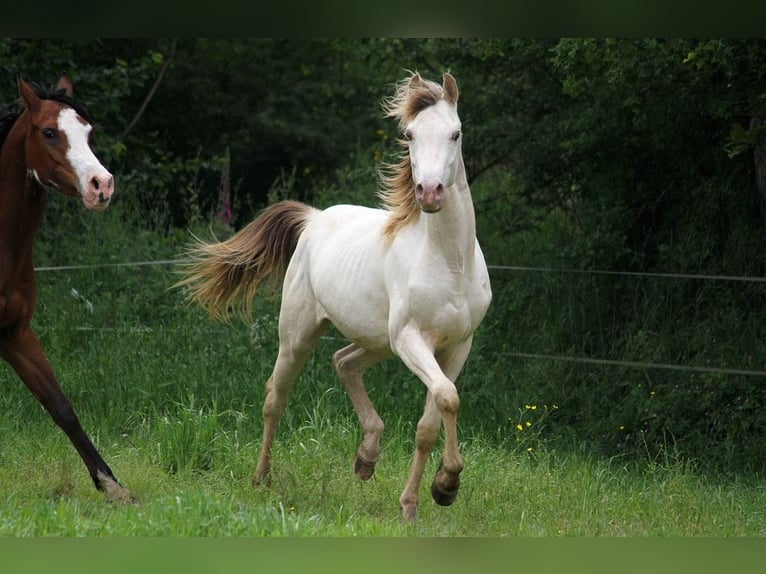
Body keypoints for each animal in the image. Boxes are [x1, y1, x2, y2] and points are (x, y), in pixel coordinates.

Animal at [0, 75, 133, 504]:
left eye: (88, 132)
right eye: (48, 132)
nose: (101, 185)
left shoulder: (15, 335)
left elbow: (61, 407)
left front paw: (112, 486)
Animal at [179, 72, 492, 520]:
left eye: (456, 133)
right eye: (410, 134)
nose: (429, 192)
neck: (450, 263)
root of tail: (313, 218)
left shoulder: (457, 346)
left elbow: (431, 421)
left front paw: (428, 495)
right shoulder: (413, 339)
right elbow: (447, 398)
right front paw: (444, 485)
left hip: (378, 342)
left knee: (343, 362)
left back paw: (366, 458)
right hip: (301, 336)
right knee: (276, 397)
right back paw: (261, 478)